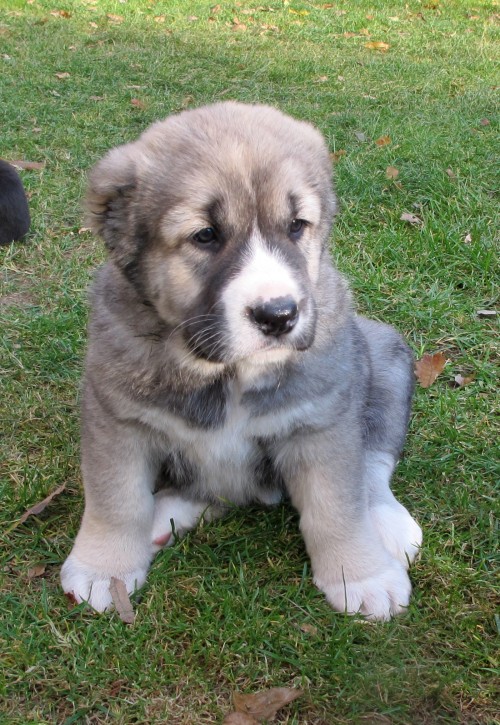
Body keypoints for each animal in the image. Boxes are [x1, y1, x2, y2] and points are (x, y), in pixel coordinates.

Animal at [61, 102, 422, 620]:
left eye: (296, 226)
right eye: (206, 235)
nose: (279, 315)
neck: (224, 372)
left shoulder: (321, 422)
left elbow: (337, 503)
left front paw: (362, 574)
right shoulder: (117, 418)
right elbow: (117, 499)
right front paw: (103, 567)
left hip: (385, 358)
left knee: (373, 459)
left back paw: (388, 524)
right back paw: (163, 517)